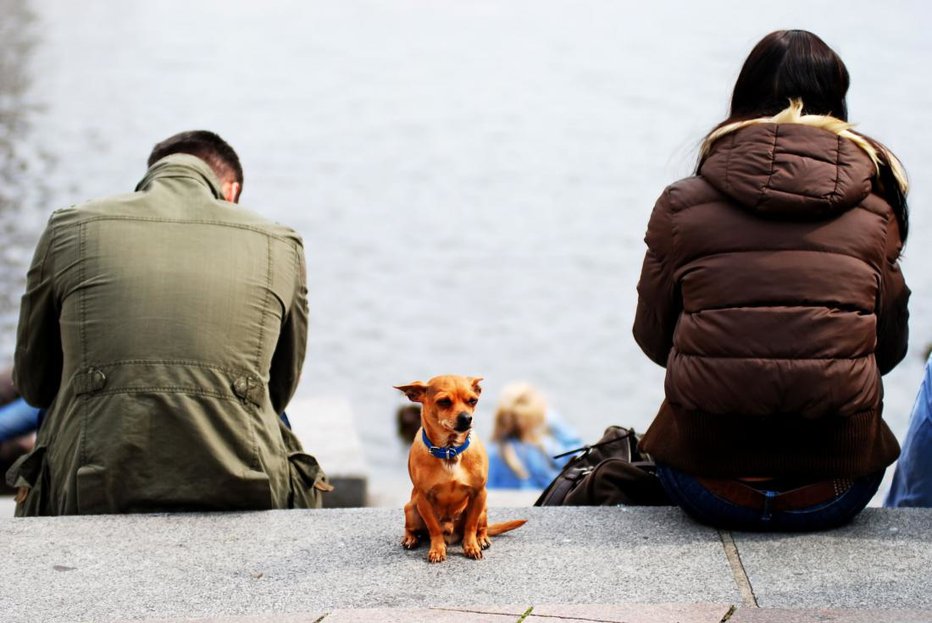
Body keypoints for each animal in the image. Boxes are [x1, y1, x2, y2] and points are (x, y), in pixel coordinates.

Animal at [394, 376, 524, 564]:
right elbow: (434, 528)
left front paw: (471, 546)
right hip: (411, 508)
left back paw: (481, 539)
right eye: (444, 401)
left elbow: (471, 525)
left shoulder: (479, 494)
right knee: (412, 528)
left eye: (473, 401)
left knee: (482, 527)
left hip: (483, 509)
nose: (467, 418)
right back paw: (411, 539)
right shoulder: (423, 499)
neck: (450, 450)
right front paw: (437, 549)